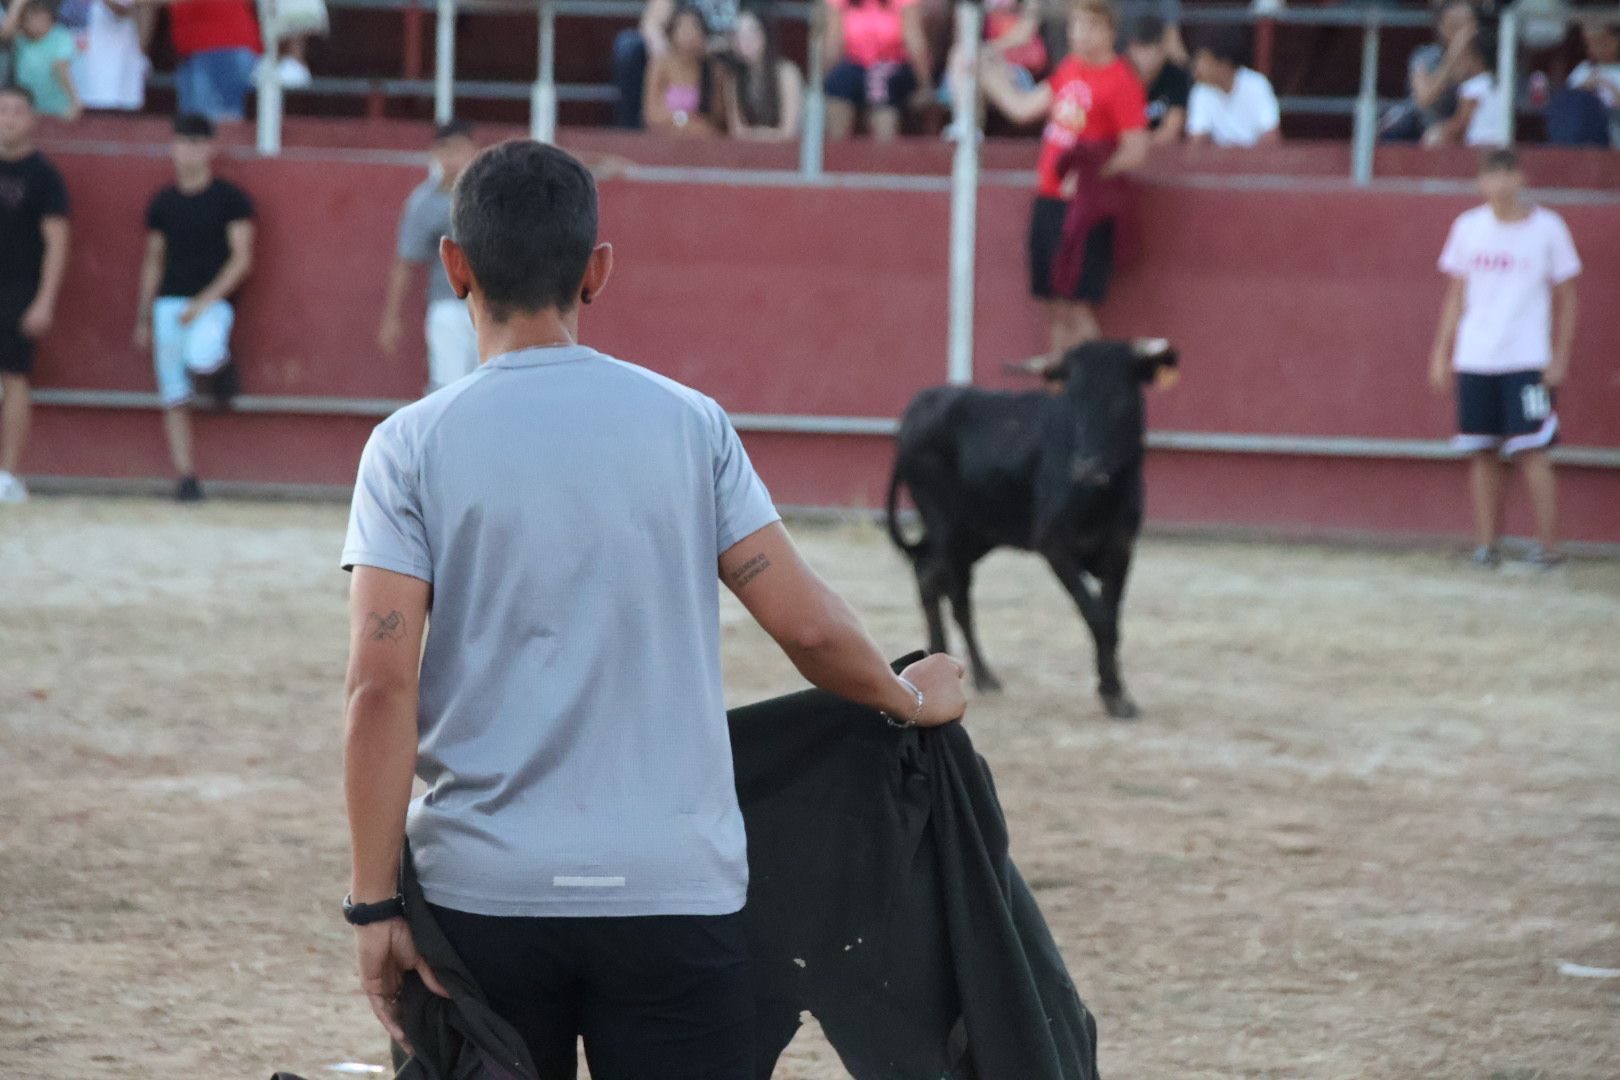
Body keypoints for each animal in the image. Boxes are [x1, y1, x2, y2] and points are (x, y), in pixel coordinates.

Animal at [887, 341, 1179, 722]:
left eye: (1121, 397)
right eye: (1072, 398)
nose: (1086, 467)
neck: (1101, 497)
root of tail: (916, 409)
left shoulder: (1121, 549)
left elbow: (1111, 621)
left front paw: (1117, 693)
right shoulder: (1055, 546)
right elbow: (1096, 616)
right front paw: (1113, 695)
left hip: (974, 535)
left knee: (931, 577)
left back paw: (966, 670)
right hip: (946, 526)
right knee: (955, 594)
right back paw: (966, 672)